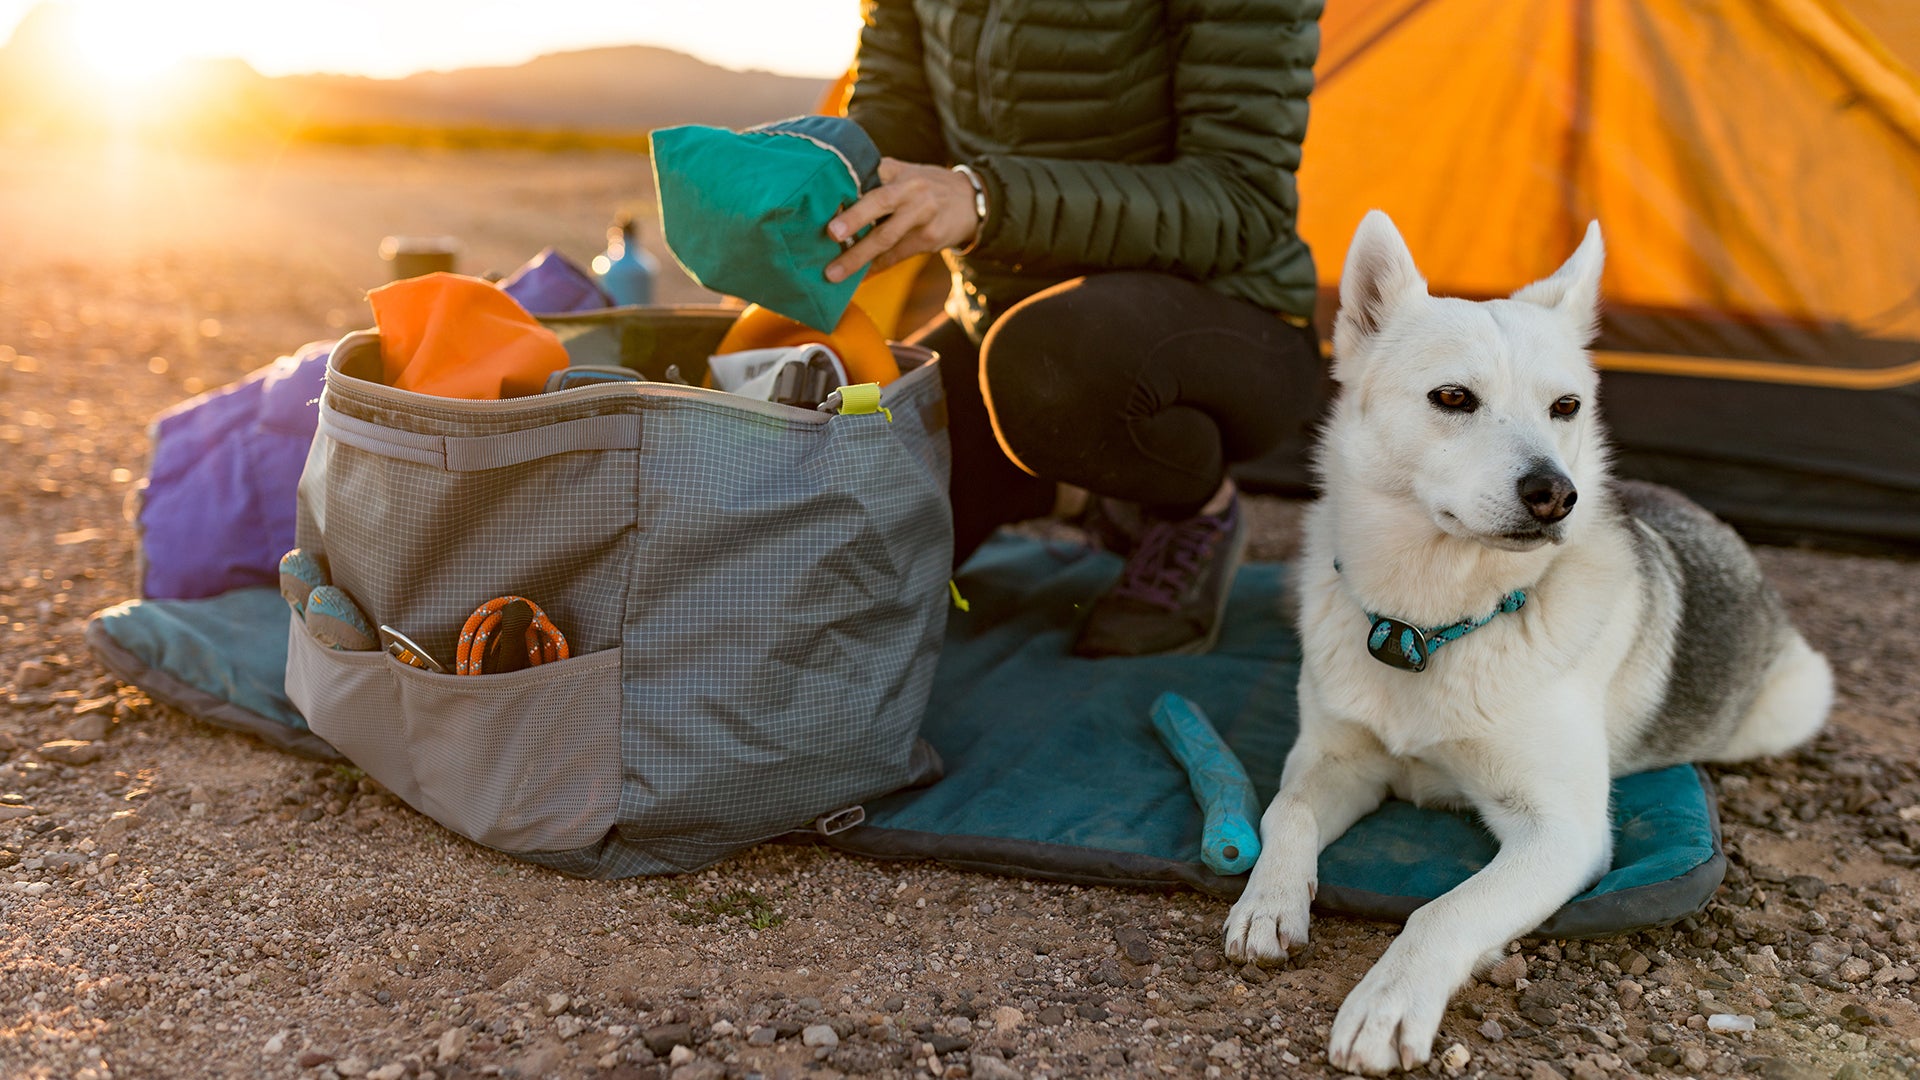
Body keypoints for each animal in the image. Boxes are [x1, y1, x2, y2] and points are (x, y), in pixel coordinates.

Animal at [1221, 210, 1835, 1068]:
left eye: (1566, 405)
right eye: (1453, 397)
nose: (1556, 495)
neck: (1430, 626)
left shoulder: (1560, 832)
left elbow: (1444, 909)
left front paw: (1389, 1000)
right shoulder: (1336, 760)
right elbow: (1286, 814)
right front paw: (1269, 900)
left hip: (1791, 703)